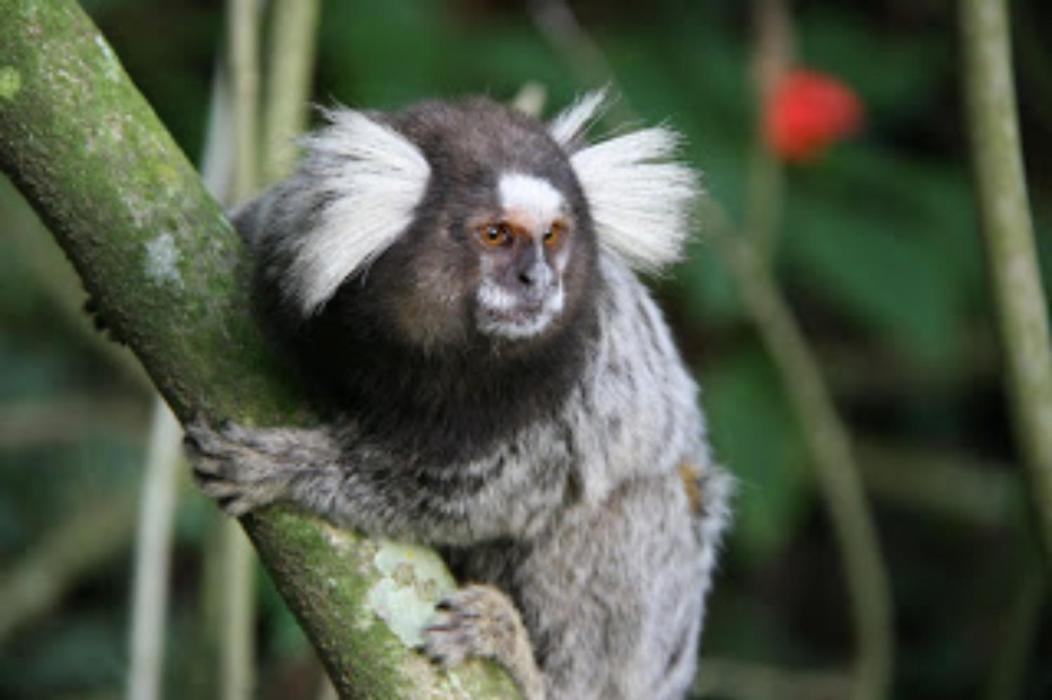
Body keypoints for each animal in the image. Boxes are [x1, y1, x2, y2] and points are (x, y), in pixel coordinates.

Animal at [187, 91, 732, 698]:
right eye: (496, 234)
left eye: (552, 235)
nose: (538, 280)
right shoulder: (288, 240)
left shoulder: (568, 385)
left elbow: (467, 498)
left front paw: (289, 466)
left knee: (630, 508)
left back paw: (524, 661)